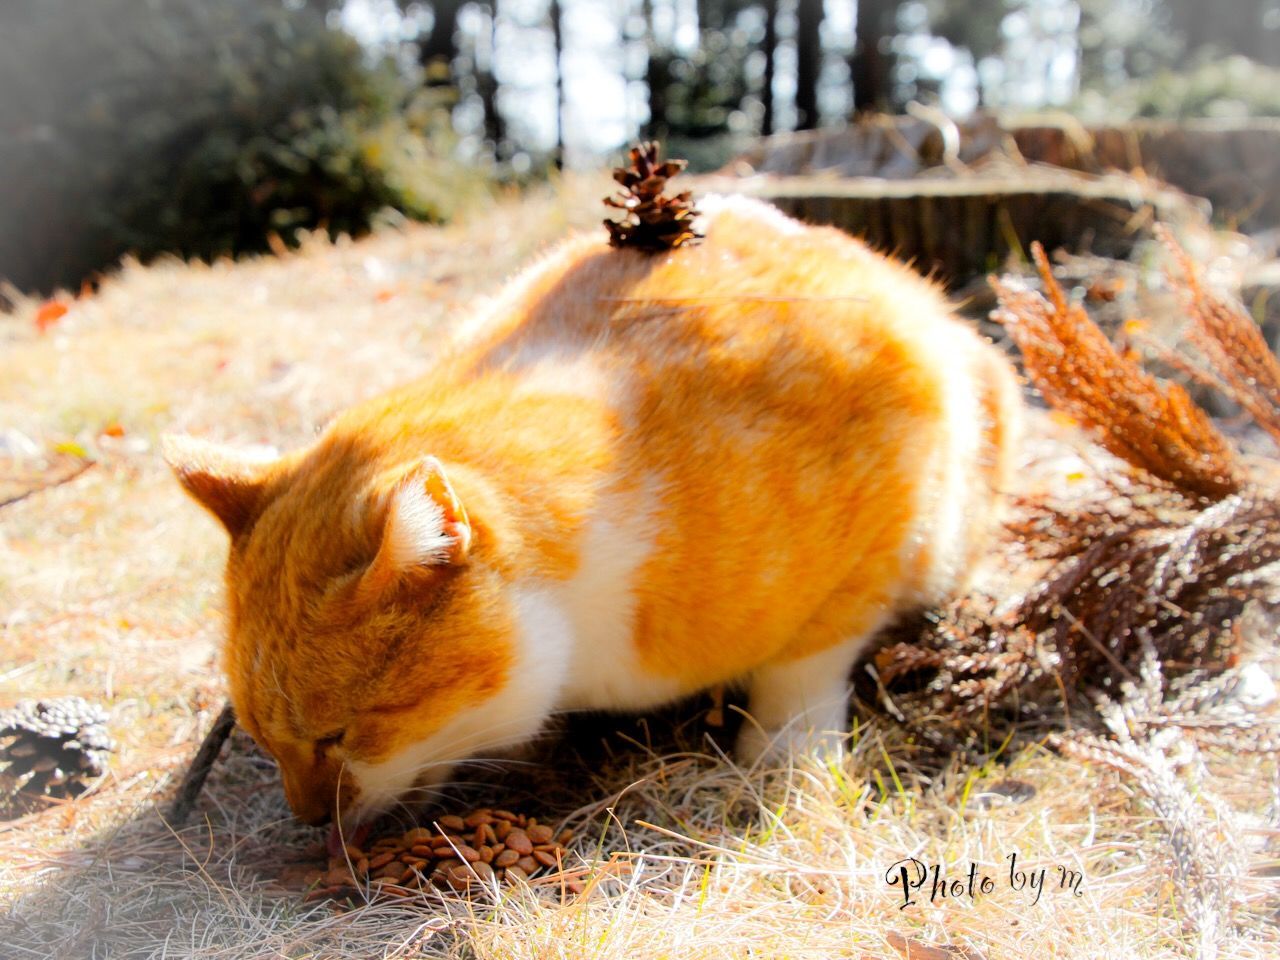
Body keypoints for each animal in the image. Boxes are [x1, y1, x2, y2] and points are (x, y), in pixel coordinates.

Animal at [165, 193, 1018, 834]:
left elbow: (806, 662)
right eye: (264, 740)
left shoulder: (895, 483)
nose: (307, 820)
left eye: (337, 735)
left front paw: (782, 747)